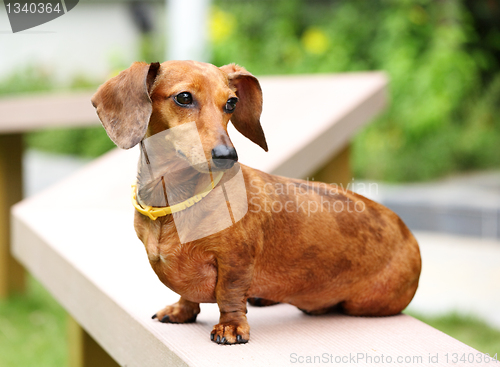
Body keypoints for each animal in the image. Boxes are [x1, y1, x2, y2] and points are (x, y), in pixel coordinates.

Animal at [92, 60, 420, 344]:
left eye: (231, 103)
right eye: (183, 98)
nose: (227, 156)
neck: (172, 204)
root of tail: (409, 235)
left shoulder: (235, 260)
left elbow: (229, 294)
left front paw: (231, 327)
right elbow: (188, 296)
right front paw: (181, 311)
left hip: (366, 302)